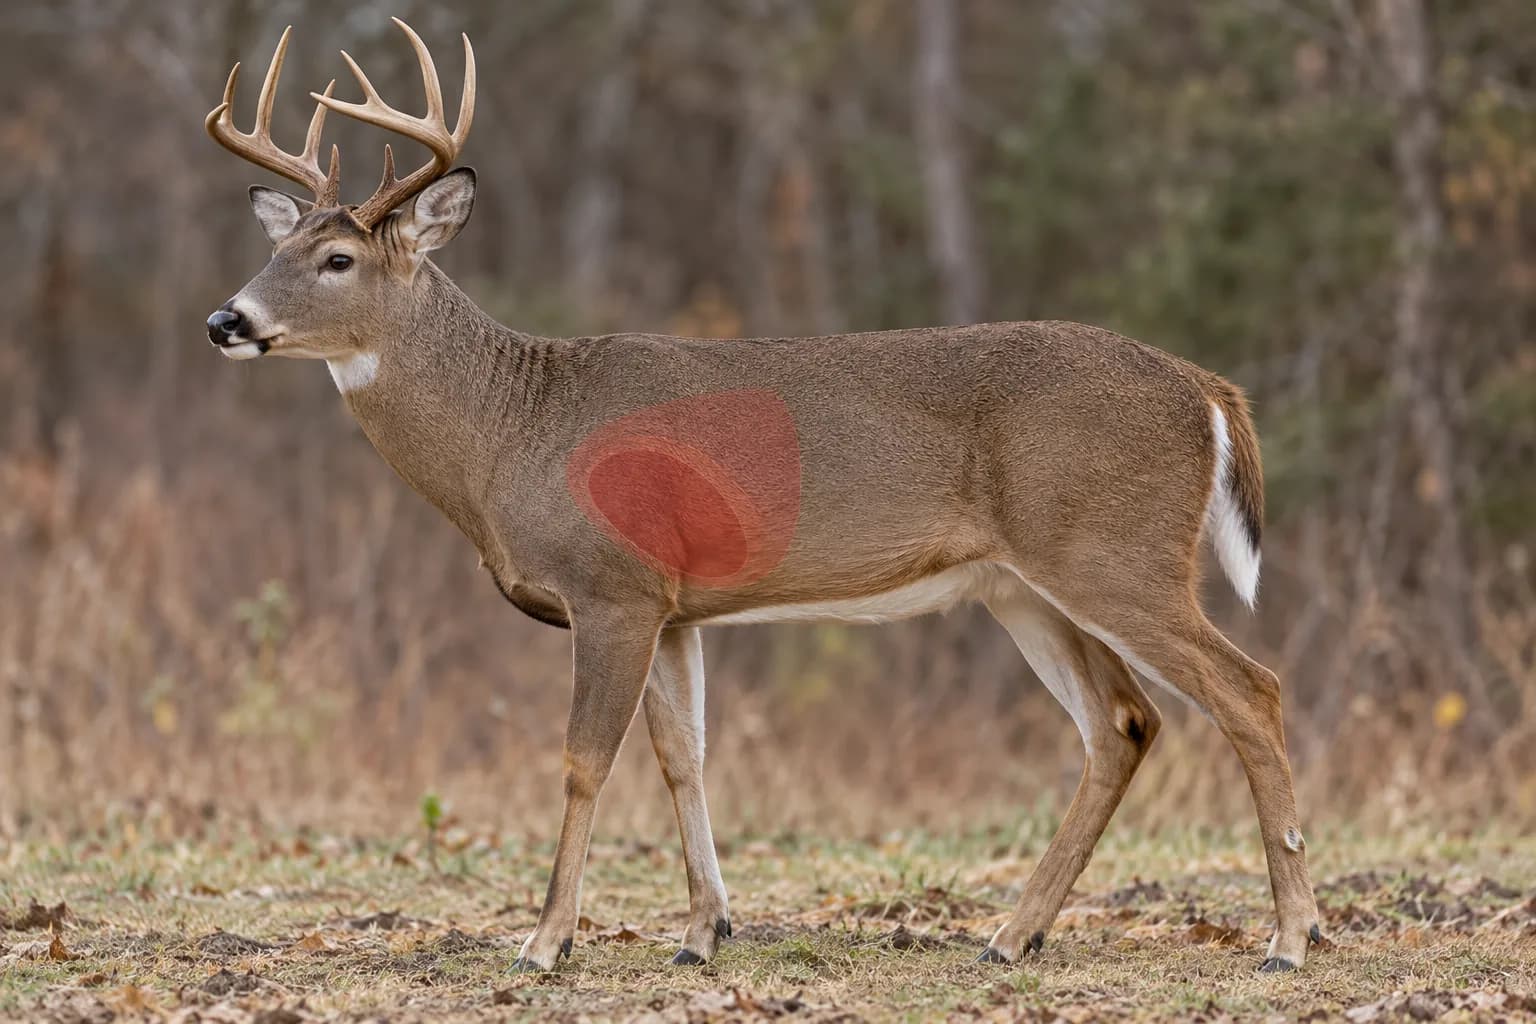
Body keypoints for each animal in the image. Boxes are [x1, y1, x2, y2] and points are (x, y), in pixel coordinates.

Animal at [204, 20, 1323, 974]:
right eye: (273, 249)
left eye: (337, 258)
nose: (226, 320)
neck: (511, 430)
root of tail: (1208, 389)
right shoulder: (675, 605)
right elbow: (684, 757)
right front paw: (704, 930)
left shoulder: (613, 586)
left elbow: (584, 759)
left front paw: (546, 941)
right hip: (1023, 584)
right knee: (1122, 724)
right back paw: (1012, 936)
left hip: (1114, 552)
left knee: (1249, 690)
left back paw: (1288, 937)